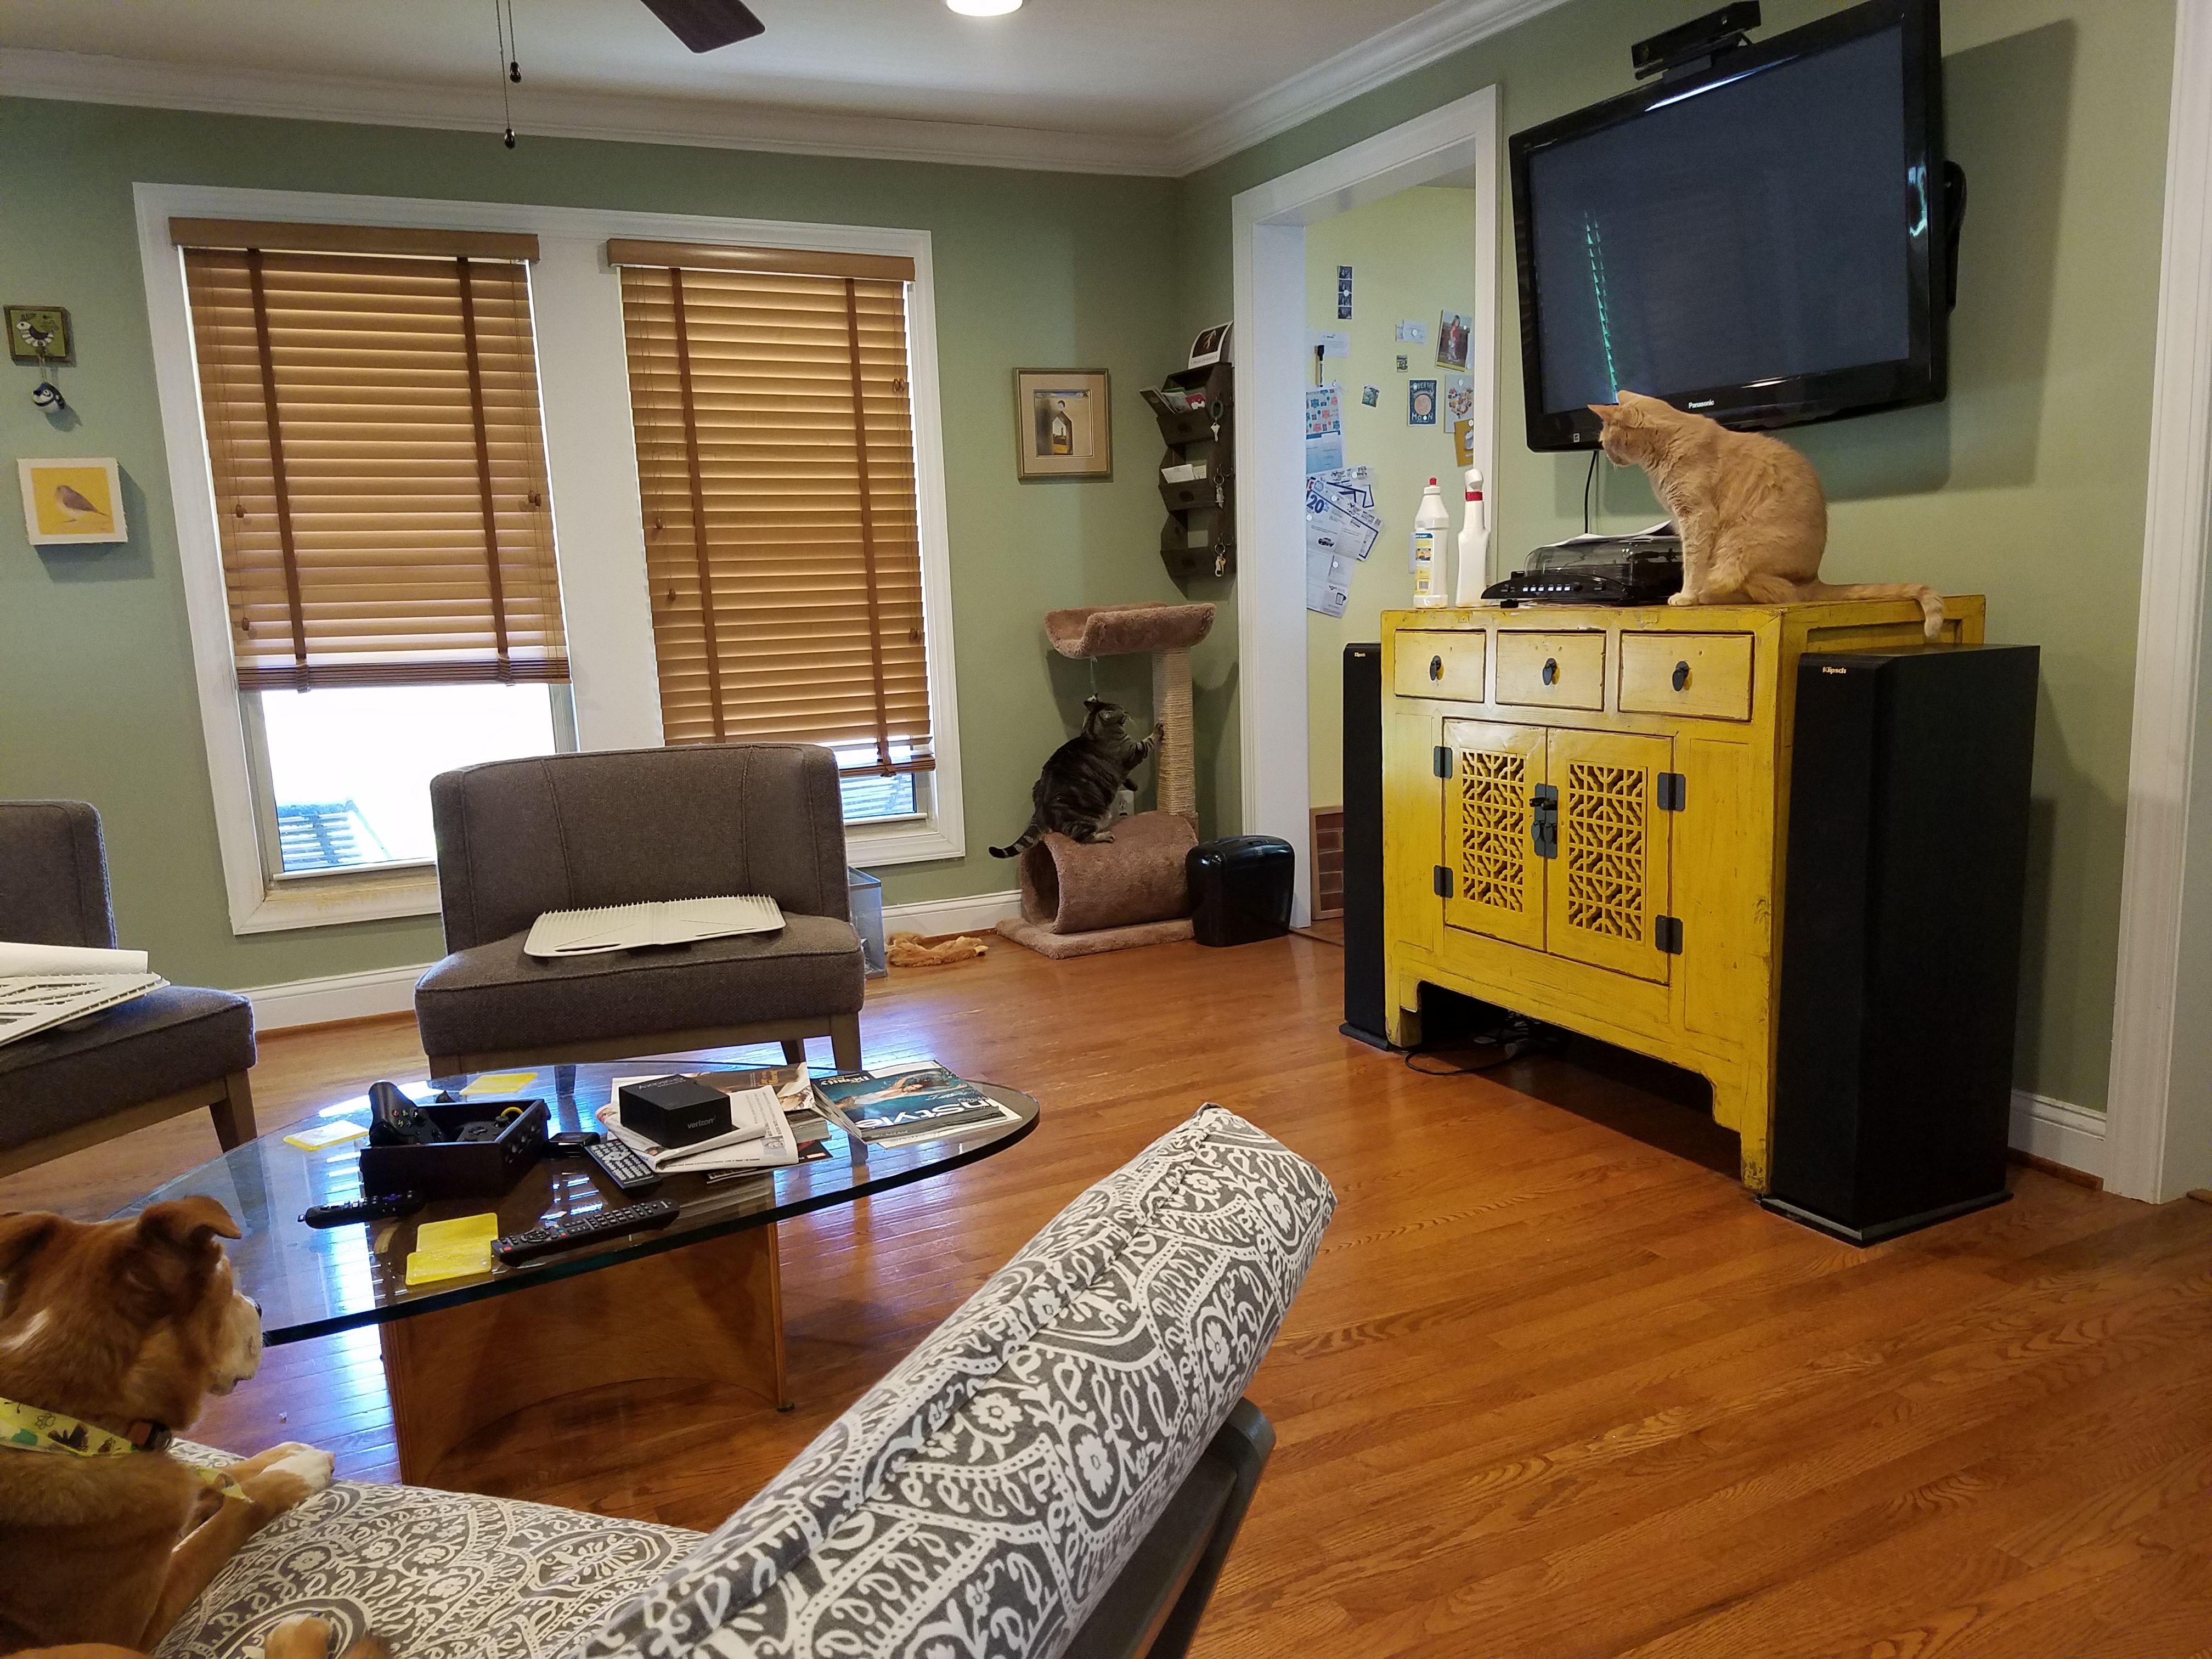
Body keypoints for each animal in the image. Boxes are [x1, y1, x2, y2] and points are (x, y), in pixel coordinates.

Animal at [0, 1203, 382, 1654]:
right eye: (228, 1285)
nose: (259, 1306)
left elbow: (218, 1476)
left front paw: (281, 1456)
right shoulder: (142, 1621)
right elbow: (237, 1508)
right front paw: (294, 1472)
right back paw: (297, 1632)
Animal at [1593, 389, 1938, 641]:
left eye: (1605, 441)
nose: (1607, 455)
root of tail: (1814, 578)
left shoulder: (1696, 518)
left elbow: (1692, 564)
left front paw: (1686, 595)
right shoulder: (1683, 520)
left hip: (1739, 546)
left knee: (1770, 592)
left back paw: (1708, 596)